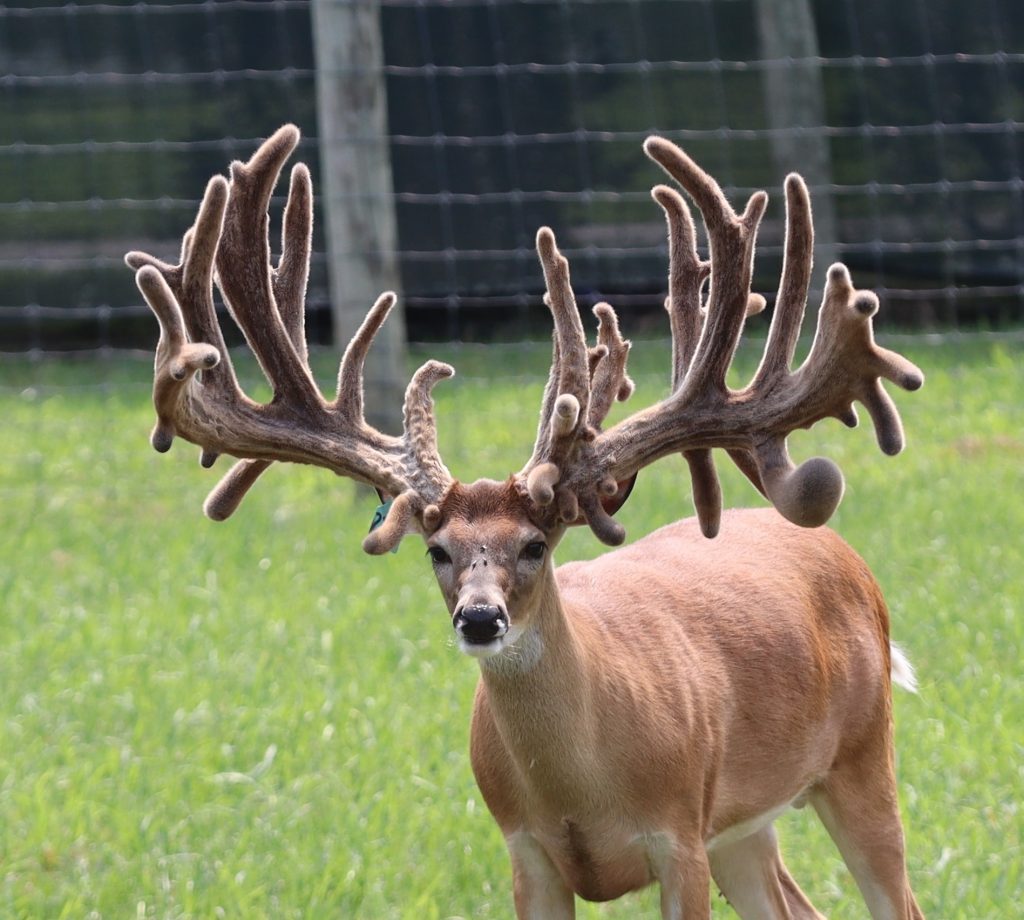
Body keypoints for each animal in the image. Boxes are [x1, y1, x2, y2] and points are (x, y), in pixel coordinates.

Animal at [125, 125, 926, 919]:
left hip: (863, 754)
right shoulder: (526, 850)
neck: (582, 787)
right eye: (437, 550)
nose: (481, 619)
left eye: (536, 545)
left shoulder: (679, 837)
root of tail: (844, 555)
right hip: (746, 824)